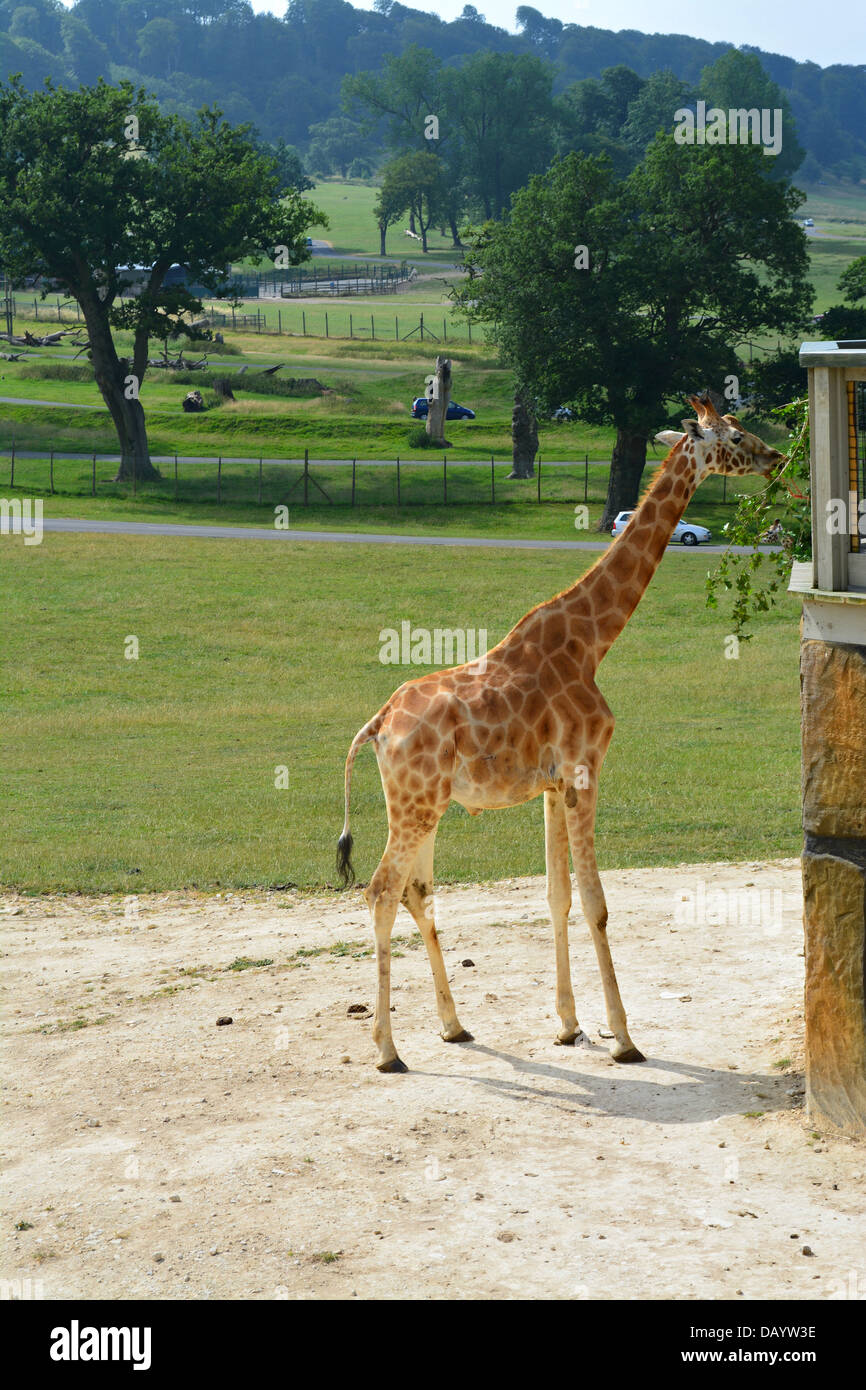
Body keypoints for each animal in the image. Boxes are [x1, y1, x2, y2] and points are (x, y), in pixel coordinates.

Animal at [337, 393, 785, 1072]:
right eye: (733, 436)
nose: (776, 456)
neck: (592, 642)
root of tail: (379, 725)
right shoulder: (584, 770)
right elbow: (597, 904)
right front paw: (624, 1038)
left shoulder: (551, 787)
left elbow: (558, 897)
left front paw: (569, 1025)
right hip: (414, 805)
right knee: (382, 890)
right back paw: (389, 1050)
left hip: (422, 803)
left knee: (418, 890)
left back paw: (454, 1026)